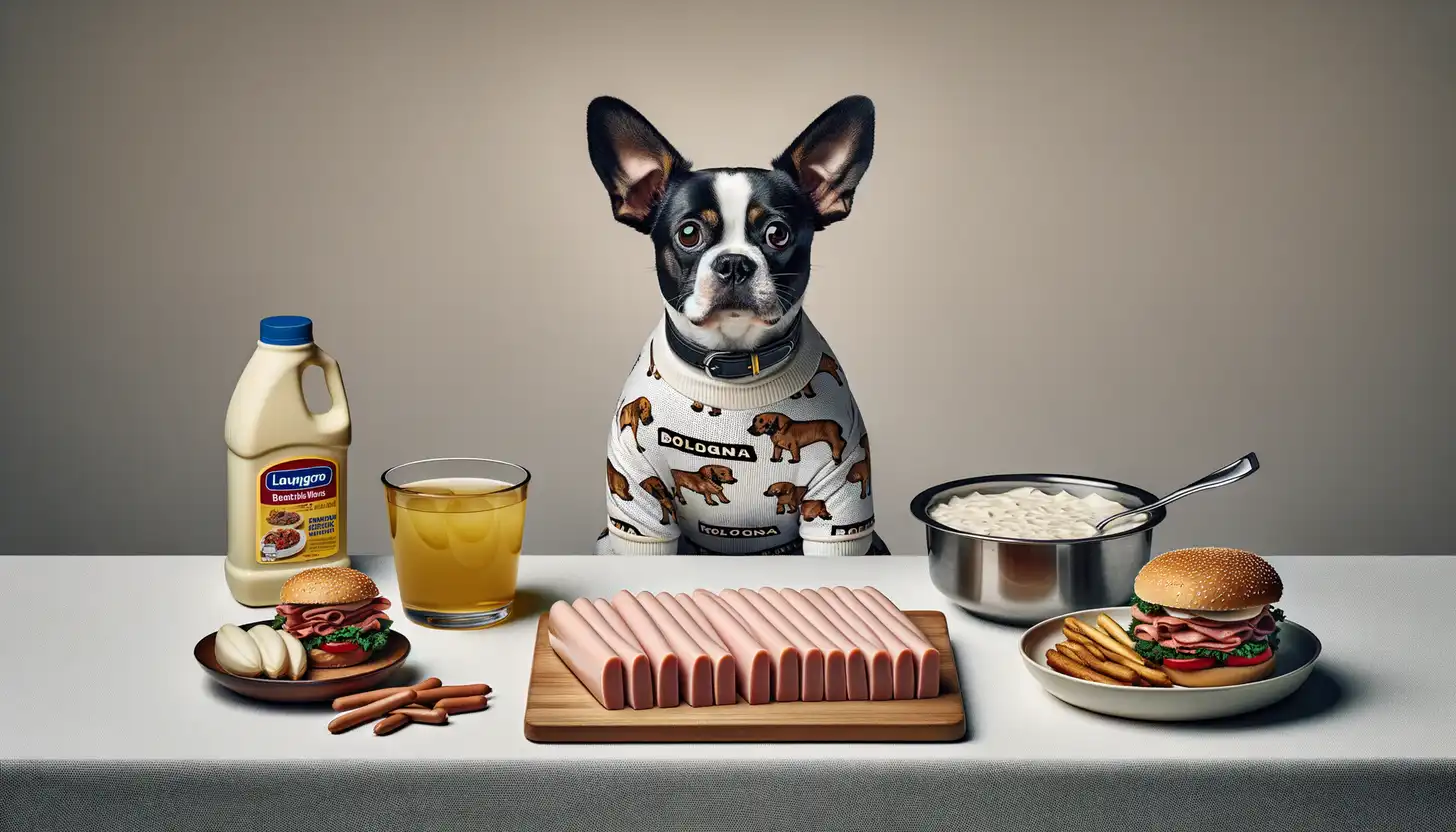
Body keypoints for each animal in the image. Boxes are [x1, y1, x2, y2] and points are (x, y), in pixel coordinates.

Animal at [582, 97, 879, 559]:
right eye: (689, 233)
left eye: (778, 233)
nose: (735, 262)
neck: (735, 368)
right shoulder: (640, 515)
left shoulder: (840, 504)